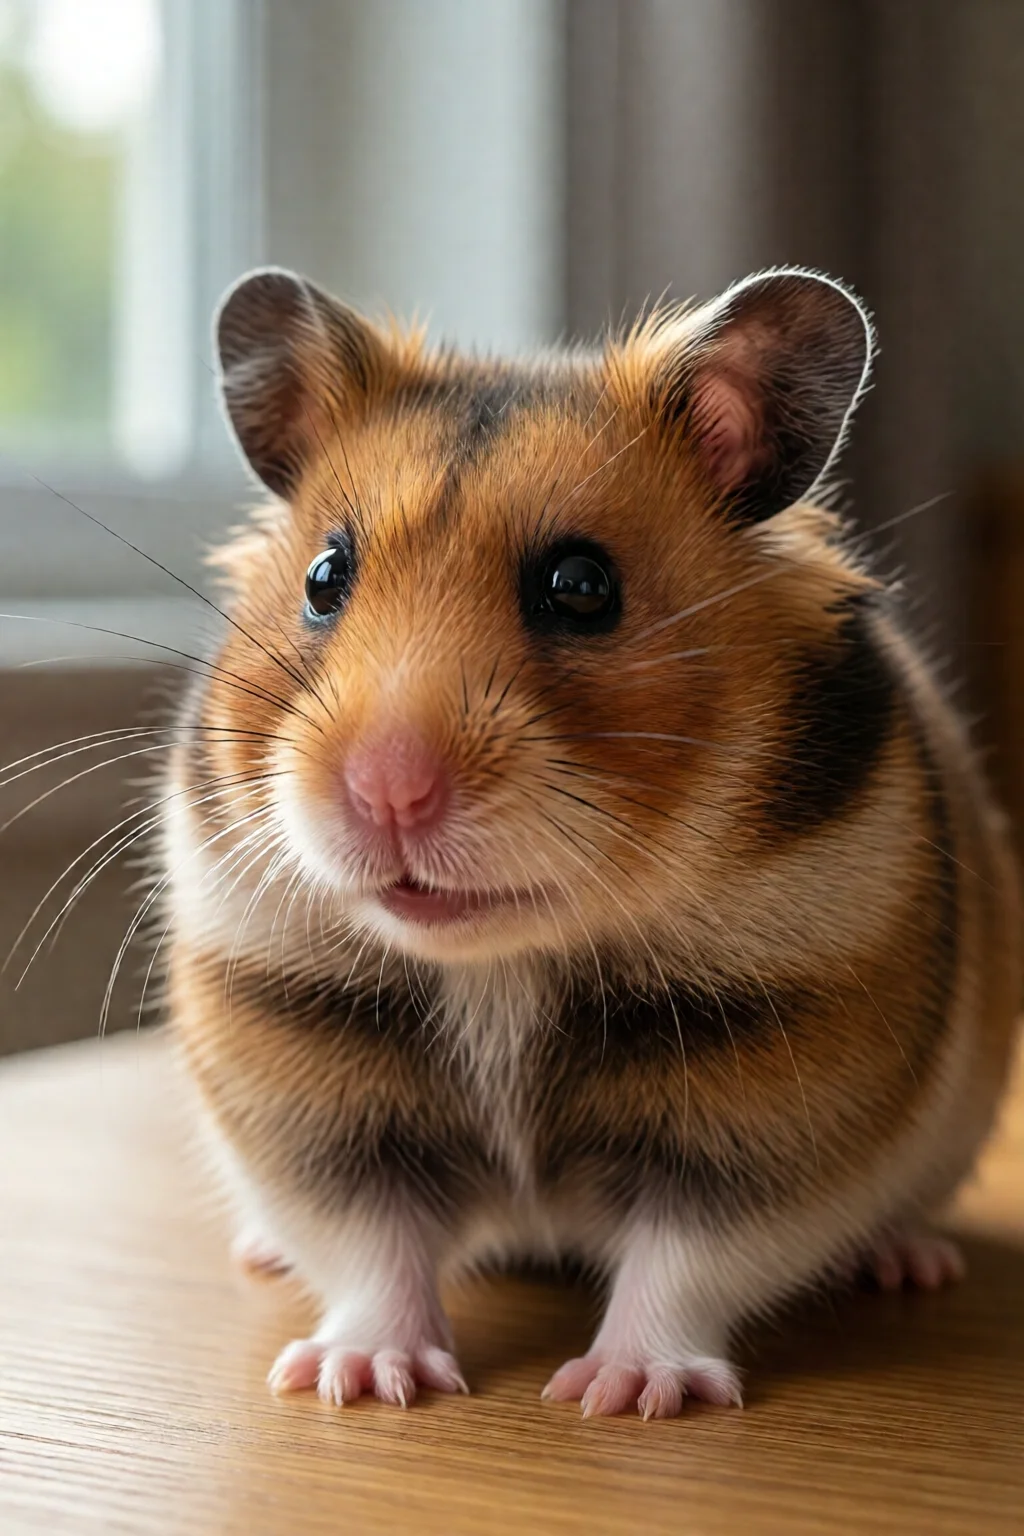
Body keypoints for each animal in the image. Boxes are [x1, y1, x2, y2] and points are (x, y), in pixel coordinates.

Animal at [164, 265, 1021, 1418]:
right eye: (323, 578)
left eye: (581, 586)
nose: (386, 791)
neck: (503, 964)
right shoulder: (303, 1071)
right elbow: (370, 1250)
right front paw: (363, 1383)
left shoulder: (772, 1104)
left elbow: (685, 1260)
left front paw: (621, 1395)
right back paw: (262, 1258)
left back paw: (905, 1263)